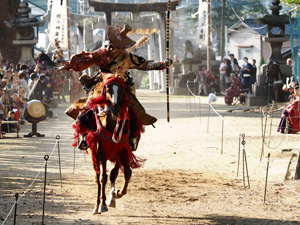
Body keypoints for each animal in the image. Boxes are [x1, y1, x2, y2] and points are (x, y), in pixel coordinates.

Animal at [74, 74, 146, 214]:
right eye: (108, 90)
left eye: (122, 90)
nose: (115, 108)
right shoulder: (100, 152)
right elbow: (103, 177)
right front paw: (102, 204)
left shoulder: (122, 151)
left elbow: (124, 173)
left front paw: (116, 194)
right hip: (94, 155)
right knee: (98, 176)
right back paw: (97, 205)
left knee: (112, 174)